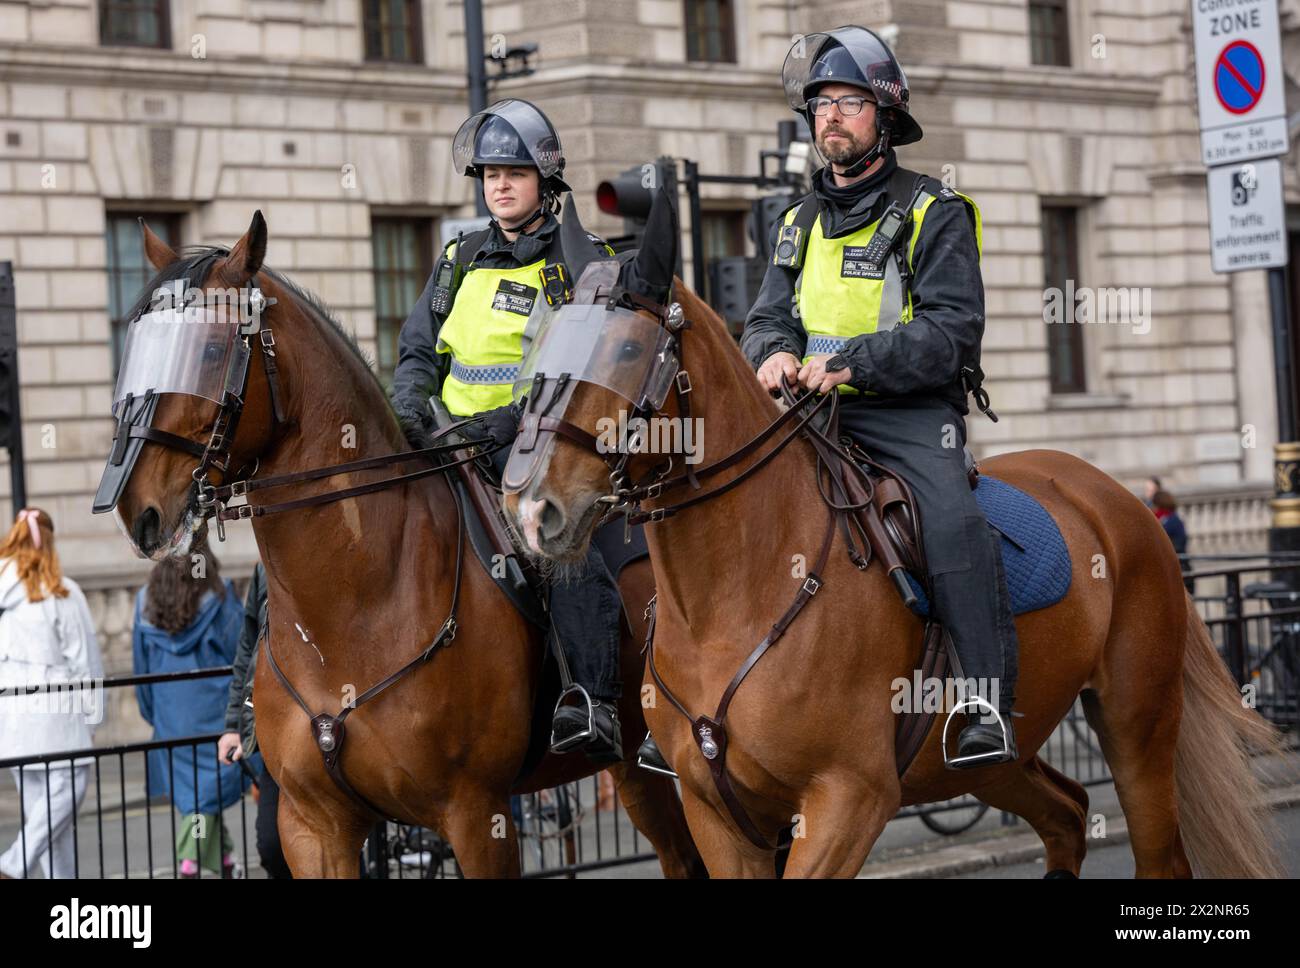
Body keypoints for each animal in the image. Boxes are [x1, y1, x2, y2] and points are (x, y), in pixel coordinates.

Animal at [106, 215, 707, 878]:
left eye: (210, 352)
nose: (136, 507)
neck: (356, 604)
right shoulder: (312, 826)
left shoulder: (477, 815)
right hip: (634, 768)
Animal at [501, 188, 1284, 878]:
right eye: (540, 346)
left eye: (628, 353)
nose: (531, 508)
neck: (736, 595)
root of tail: (1112, 495)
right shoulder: (717, 813)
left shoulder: (848, 798)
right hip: (988, 761)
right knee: (1065, 814)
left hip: (1136, 725)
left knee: (1157, 853)